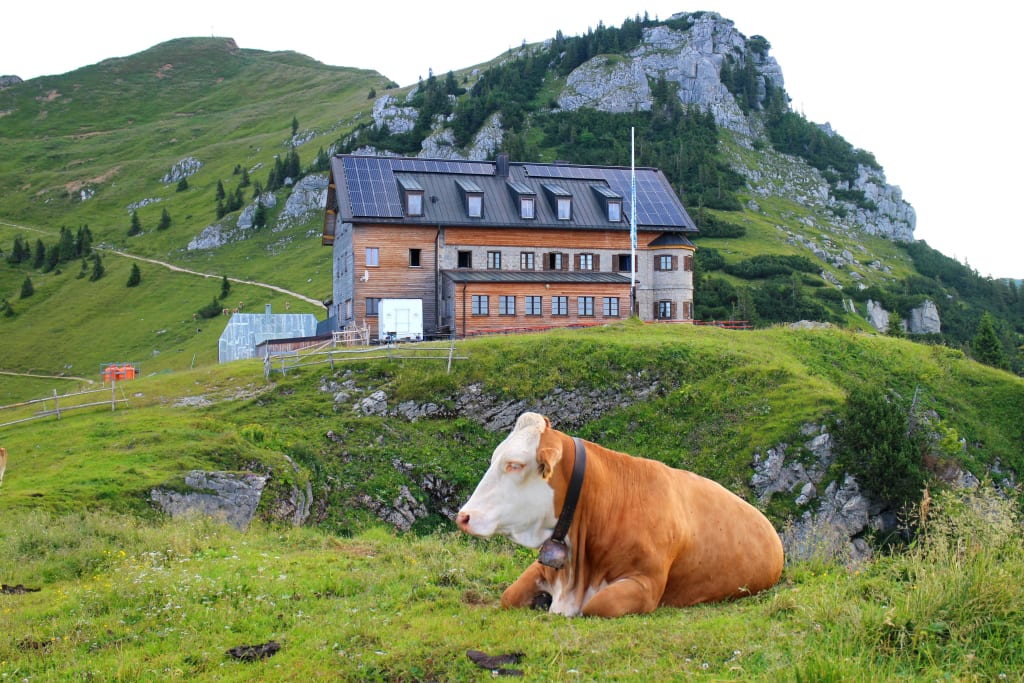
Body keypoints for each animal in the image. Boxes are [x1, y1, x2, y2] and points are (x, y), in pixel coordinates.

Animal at [456, 412, 784, 617]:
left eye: (515, 465)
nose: (464, 516)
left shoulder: (646, 585)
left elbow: (598, 605)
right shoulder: (546, 569)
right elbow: (508, 596)